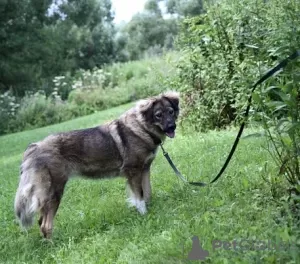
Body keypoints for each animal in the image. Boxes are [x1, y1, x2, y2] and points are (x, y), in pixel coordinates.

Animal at [14, 91, 179, 239]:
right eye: (158, 115)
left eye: (171, 112)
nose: (172, 126)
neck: (141, 127)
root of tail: (33, 147)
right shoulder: (133, 172)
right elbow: (139, 197)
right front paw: (144, 215)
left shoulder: (144, 170)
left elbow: (147, 193)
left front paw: (149, 211)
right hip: (55, 192)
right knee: (45, 225)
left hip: (47, 196)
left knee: (41, 221)